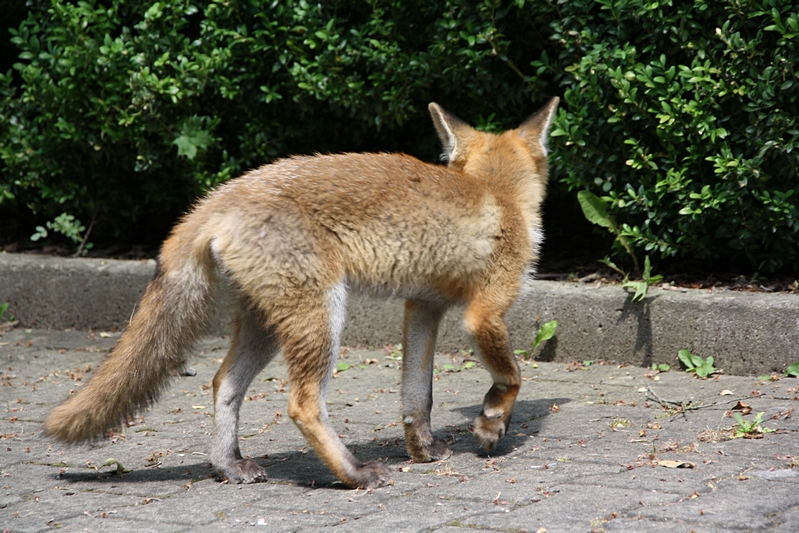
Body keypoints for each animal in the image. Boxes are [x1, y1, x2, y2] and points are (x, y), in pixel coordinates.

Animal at [44, 97, 559, 488]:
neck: (497, 193)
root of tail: (219, 196)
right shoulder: (483, 311)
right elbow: (512, 375)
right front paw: (492, 425)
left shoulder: (423, 307)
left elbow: (418, 396)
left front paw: (423, 450)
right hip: (322, 314)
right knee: (302, 404)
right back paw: (354, 474)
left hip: (268, 325)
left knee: (223, 384)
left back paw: (228, 466)